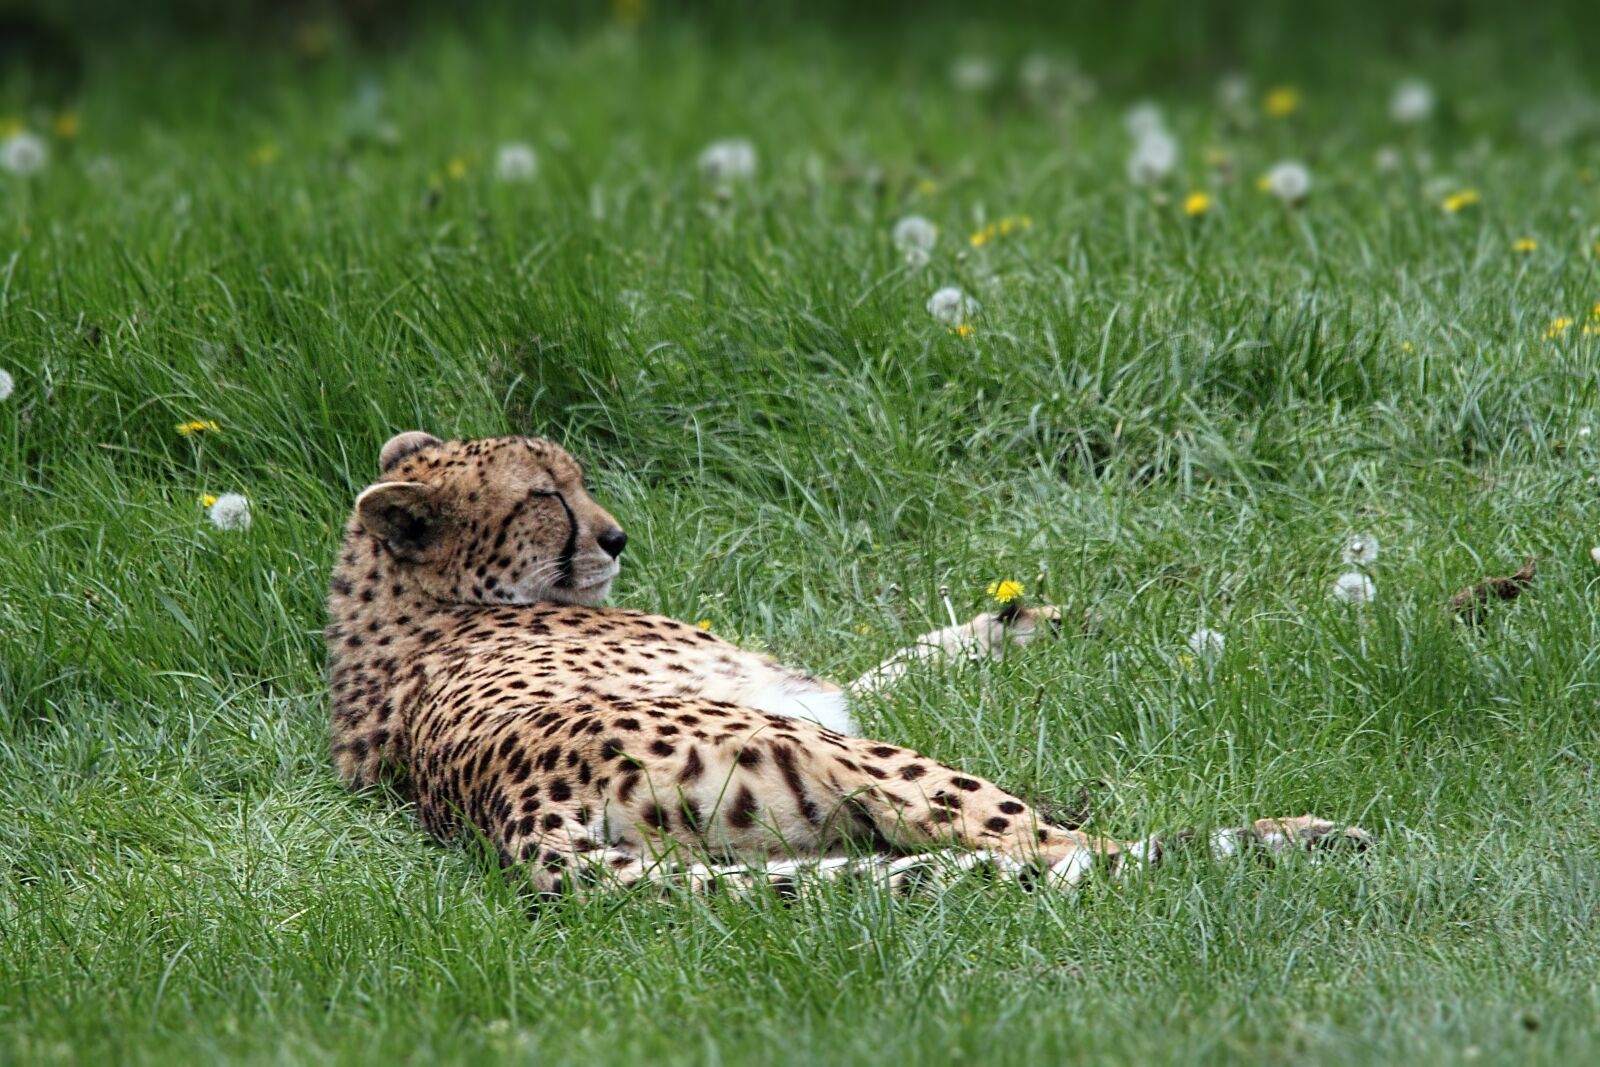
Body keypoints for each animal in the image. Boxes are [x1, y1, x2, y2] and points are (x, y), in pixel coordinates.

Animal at [326, 431, 1370, 898]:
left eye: (575, 478)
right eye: (546, 495)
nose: (618, 537)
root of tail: (517, 822)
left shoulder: (806, 689)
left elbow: (899, 657)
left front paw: (1015, 621)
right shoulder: (801, 698)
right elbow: (883, 670)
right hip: (856, 760)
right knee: (1060, 850)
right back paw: (1291, 835)